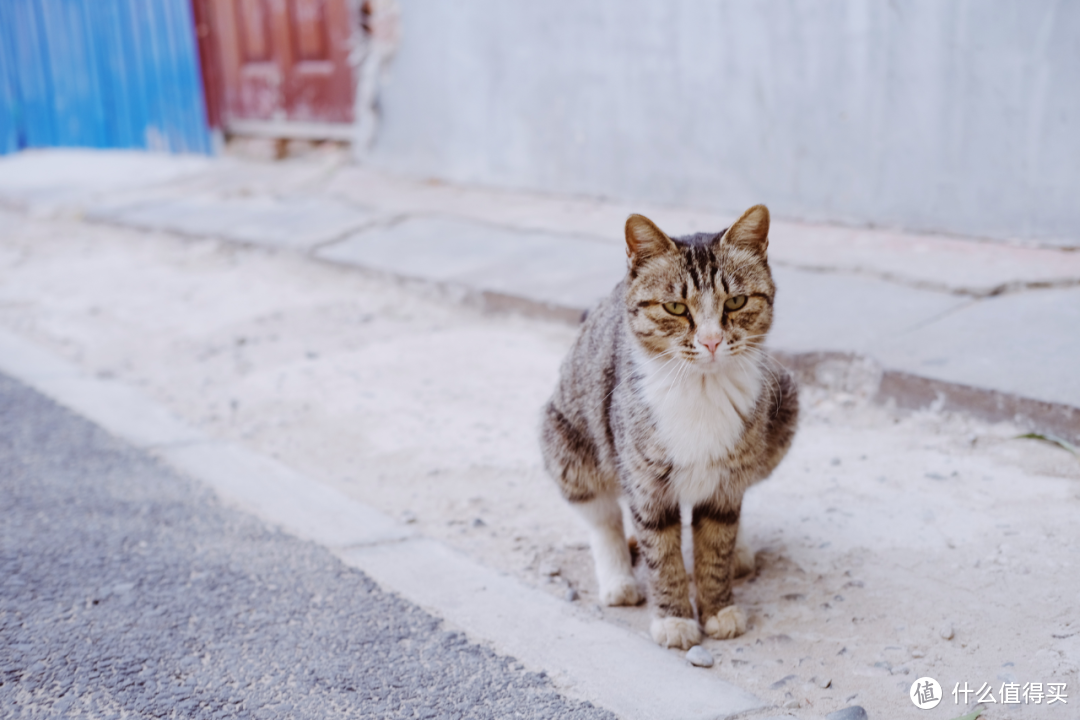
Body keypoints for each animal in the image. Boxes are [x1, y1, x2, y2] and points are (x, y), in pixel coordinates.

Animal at [544, 205, 799, 651]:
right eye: (676, 308)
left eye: (736, 301)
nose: (712, 341)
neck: (701, 389)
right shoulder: (645, 487)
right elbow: (662, 556)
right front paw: (675, 620)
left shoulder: (724, 483)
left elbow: (715, 545)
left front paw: (718, 610)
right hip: (569, 446)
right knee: (601, 517)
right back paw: (618, 579)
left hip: (782, 406)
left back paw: (740, 552)